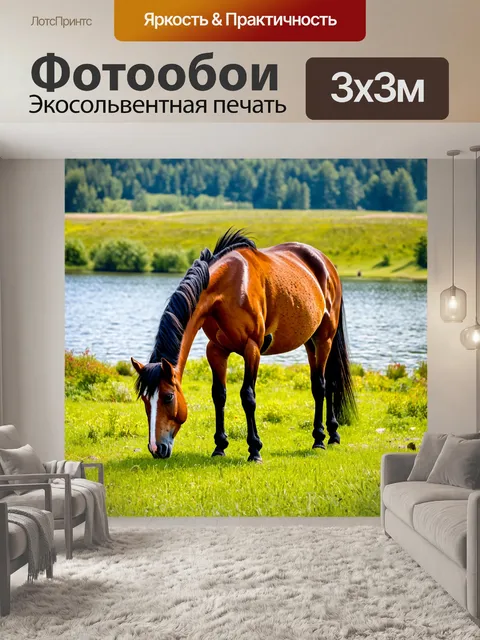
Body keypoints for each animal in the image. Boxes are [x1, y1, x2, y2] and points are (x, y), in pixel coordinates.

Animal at [131, 229, 357, 462]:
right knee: (324, 383)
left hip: (324, 339)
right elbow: (218, 395)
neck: (229, 288)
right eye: (145, 399)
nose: (156, 448)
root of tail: (327, 265)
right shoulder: (215, 350)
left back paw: (321, 438)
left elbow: (248, 396)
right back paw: (330, 435)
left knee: (322, 386)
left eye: (168, 397)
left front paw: (255, 449)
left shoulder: (252, 349)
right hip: (310, 342)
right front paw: (219, 447)